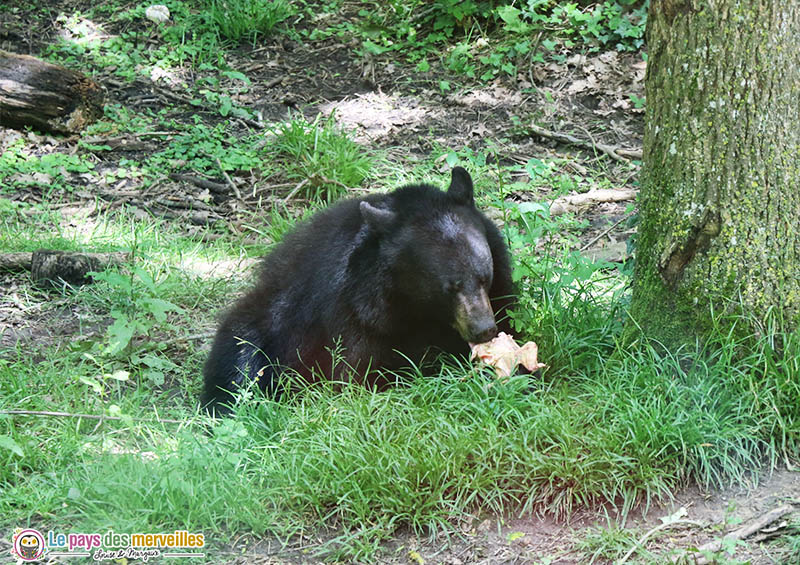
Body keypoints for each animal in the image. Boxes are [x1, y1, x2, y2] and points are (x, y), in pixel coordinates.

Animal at [203, 165, 516, 412]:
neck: (411, 307)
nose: (483, 329)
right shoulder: (354, 316)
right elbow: (355, 372)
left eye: (484, 277)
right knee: (240, 360)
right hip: (264, 324)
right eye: (449, 288)